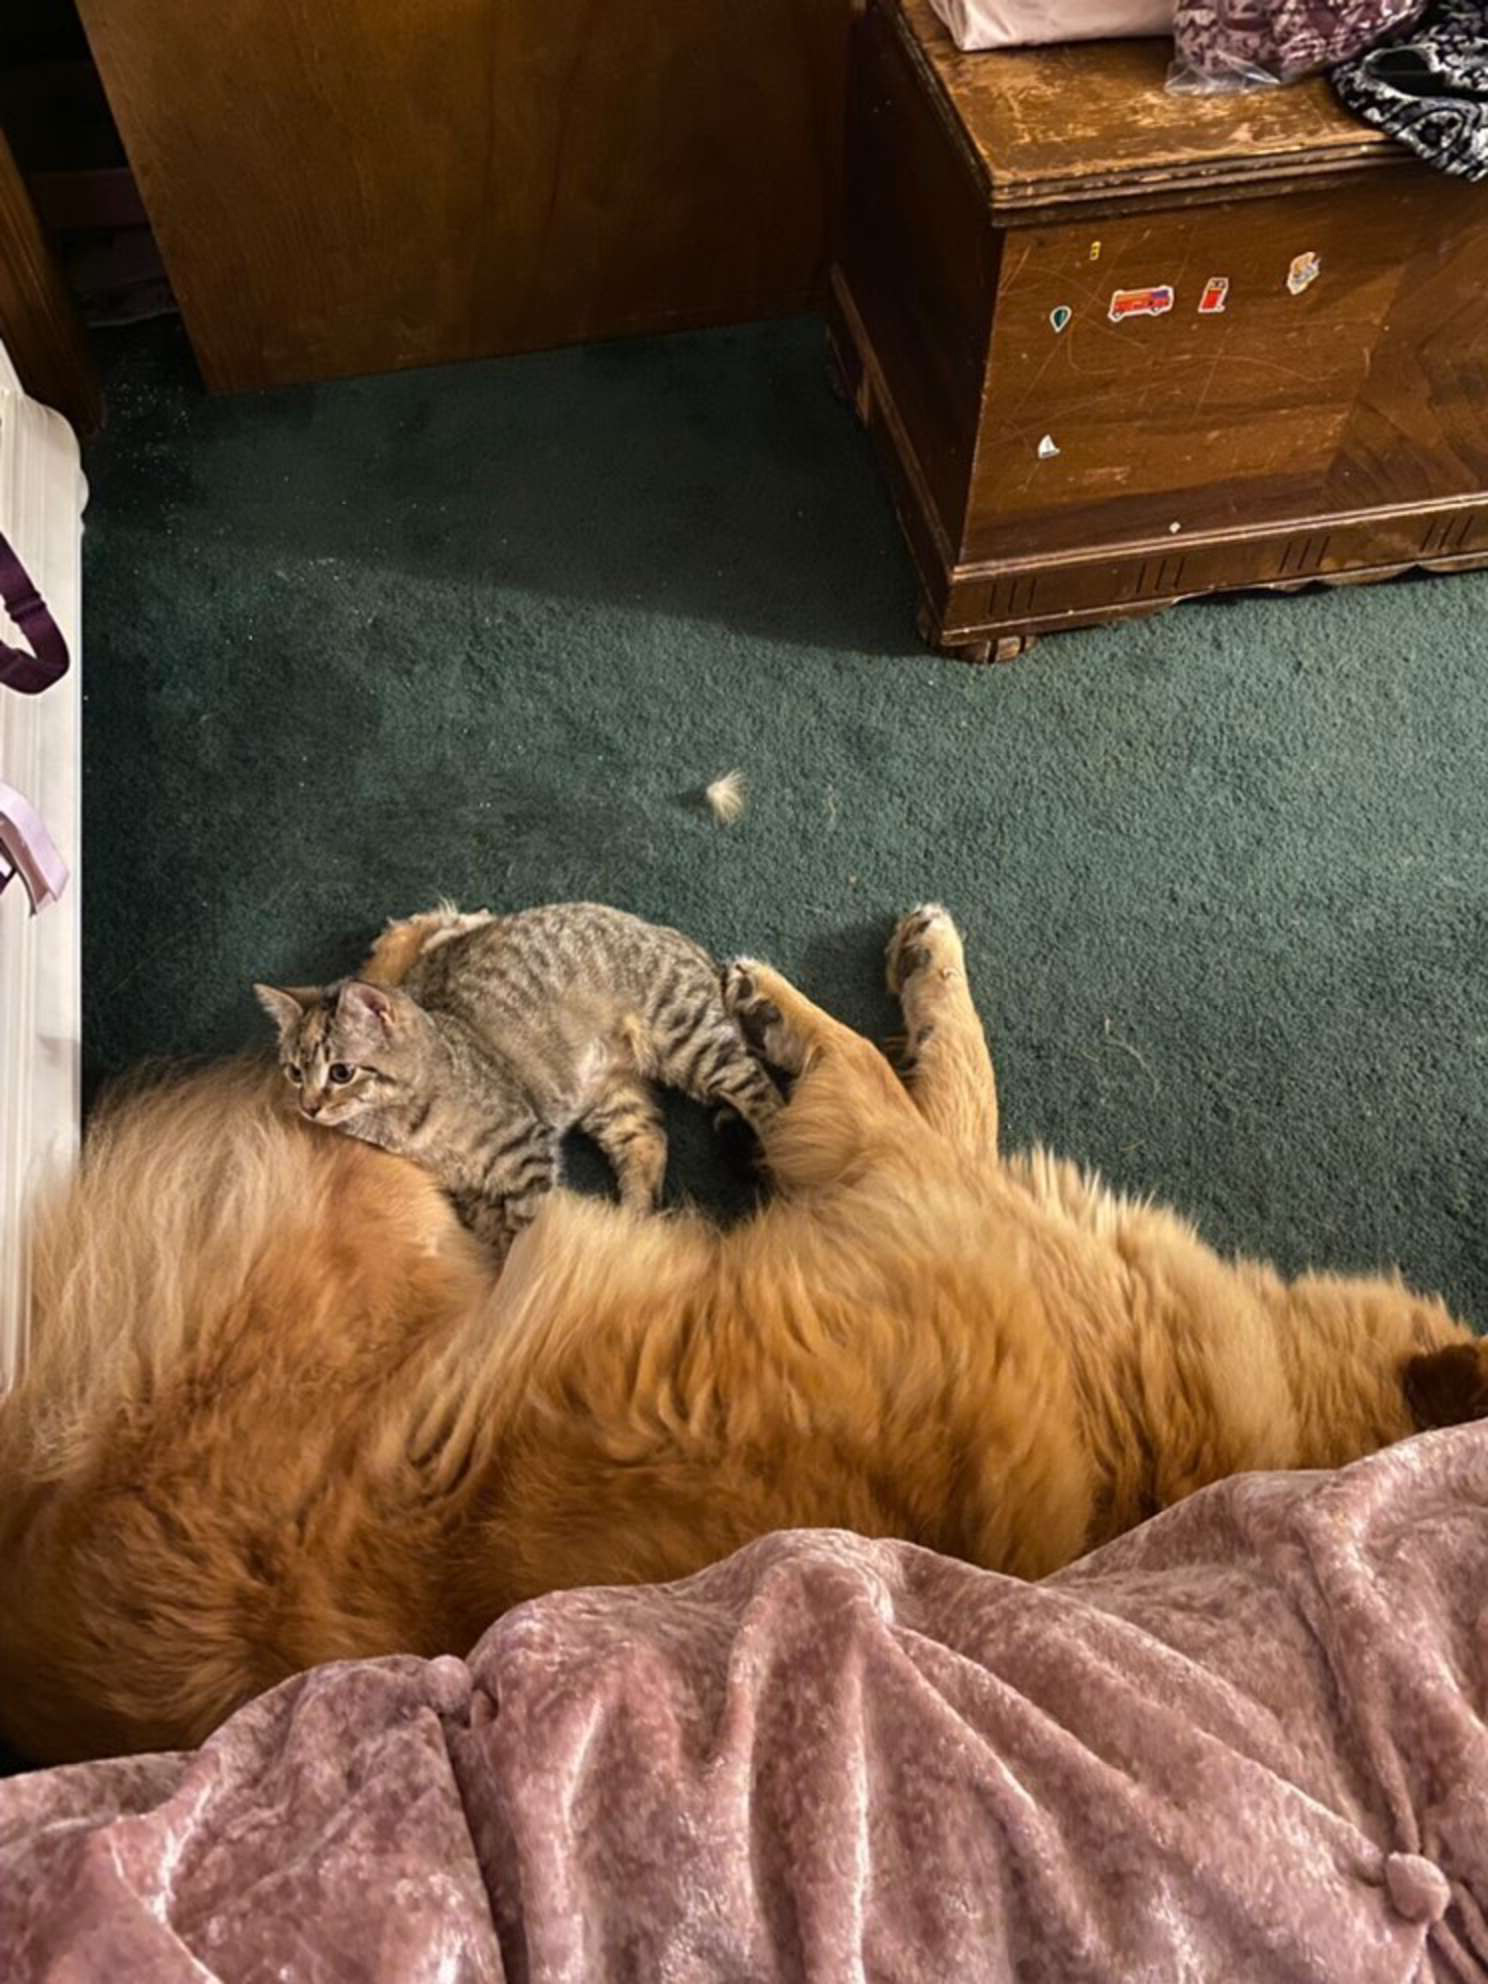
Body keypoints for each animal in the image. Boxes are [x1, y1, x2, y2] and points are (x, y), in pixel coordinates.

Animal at [254, 902, 781, 1257]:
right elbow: (492, 1232)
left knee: (761, 1092)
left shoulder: (525, 1151)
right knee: (647, 1139)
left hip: (688, 1039)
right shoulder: (473, 1192)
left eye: (341, 1072)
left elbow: (525, 1232)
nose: (308, 1106)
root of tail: (678, 939)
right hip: (609, 1096)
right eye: (295, 1071)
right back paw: (632, 1222)